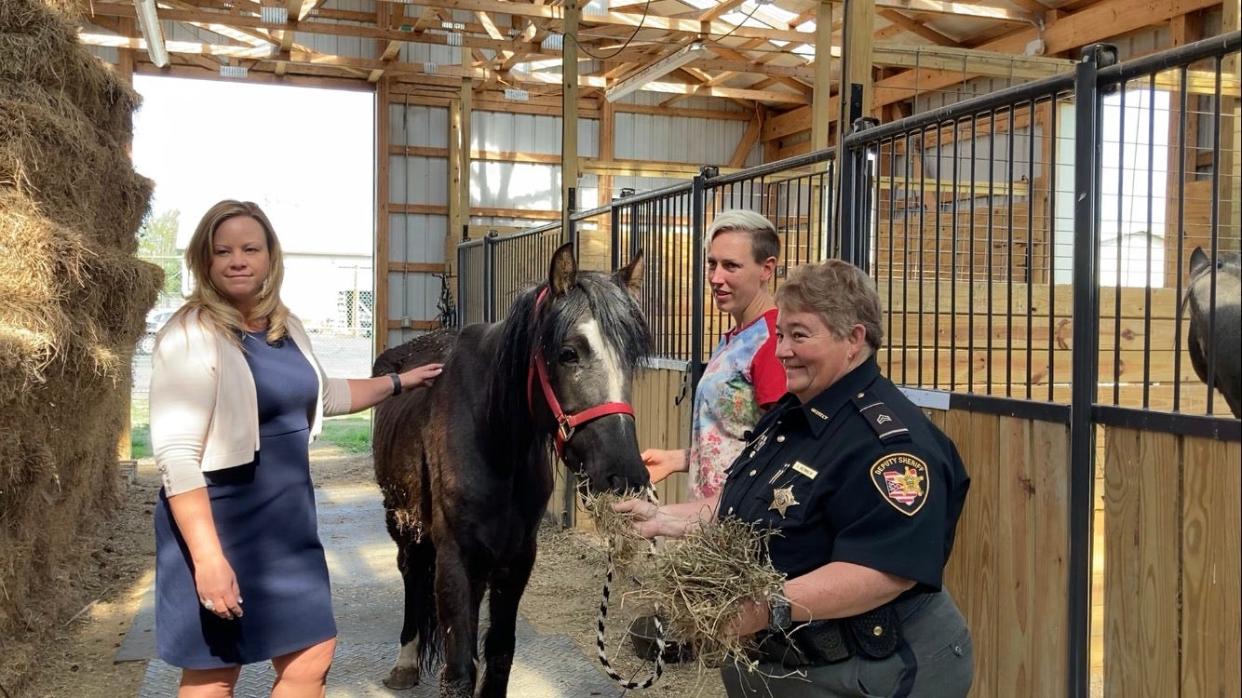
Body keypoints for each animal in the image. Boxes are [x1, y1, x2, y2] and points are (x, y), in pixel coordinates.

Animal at [372, 242, 655, 690]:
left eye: (630, 358)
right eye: (568, 353)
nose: (625, 475)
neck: (495, 439)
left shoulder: (518, 558)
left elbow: (500, 653)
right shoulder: (456, 559)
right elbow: (460, 671)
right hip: (401, 522)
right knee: (410, 570)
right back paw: (405, 662)